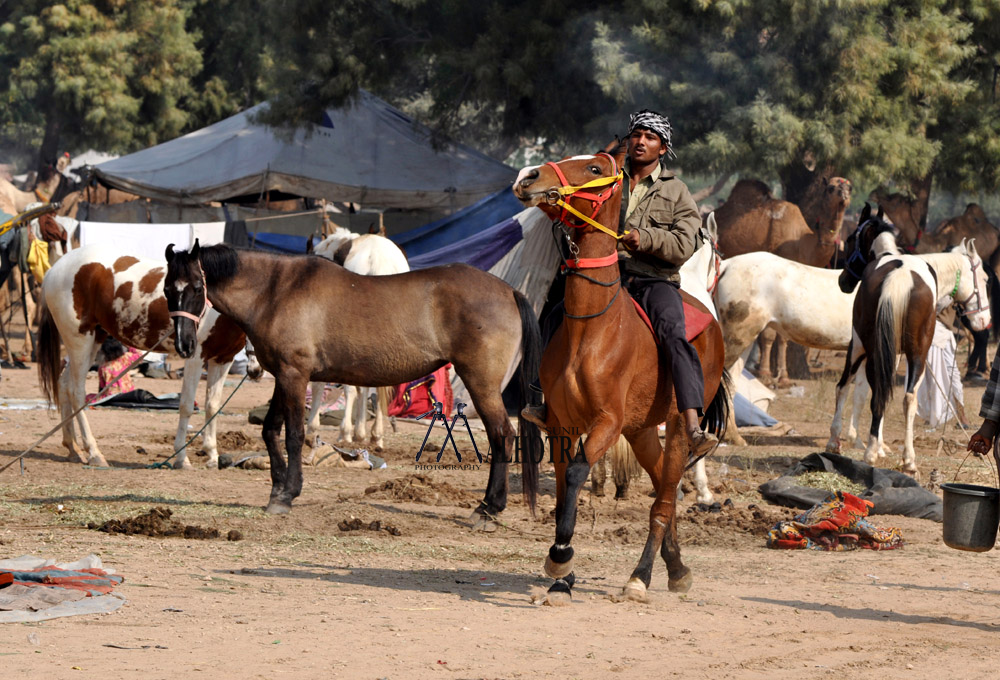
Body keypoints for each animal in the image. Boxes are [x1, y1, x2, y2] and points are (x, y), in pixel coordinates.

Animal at [37, 243, 252, 468]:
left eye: (199, 288)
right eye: (167, 291)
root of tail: (54, 269)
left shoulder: (222, 359)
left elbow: (212, 406)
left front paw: (212, 455)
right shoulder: (195, 357)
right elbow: (186, 406)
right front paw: (181, 458)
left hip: (93, 340)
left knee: (63, 384)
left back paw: (73, 448)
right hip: (79, 340)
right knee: (76, 392)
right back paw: (94, 453)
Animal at [512, 151, 732, 604]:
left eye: (595, 169)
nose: (528, 176)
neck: (593, 330)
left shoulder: (606, 423)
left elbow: (577, 473)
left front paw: (560, 558)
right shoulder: (561, 426)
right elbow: (563, 489)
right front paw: (563, 576)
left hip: (676, 429)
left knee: (663, 503)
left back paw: (640, 577)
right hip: (642, 431)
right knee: (664, 488)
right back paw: (677, 567)